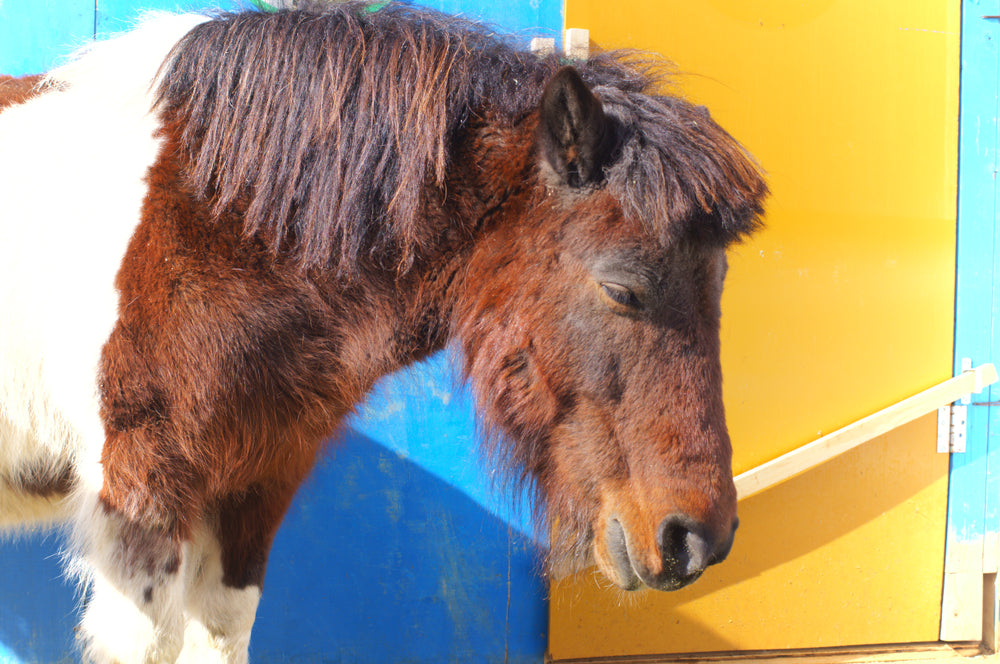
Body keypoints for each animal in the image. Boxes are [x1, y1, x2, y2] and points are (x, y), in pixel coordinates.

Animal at [0, 3, 767, 662]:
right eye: (621, 289)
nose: (697, 539)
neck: (214, 217)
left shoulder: (257, 484)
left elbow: (223, 634)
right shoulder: (142, 493)